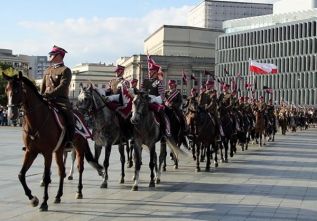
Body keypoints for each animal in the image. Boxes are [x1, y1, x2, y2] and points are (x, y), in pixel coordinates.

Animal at [3, 71, 102, 212]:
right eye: (6, 90)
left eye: (17, 90)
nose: (11, 115)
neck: (37, 121)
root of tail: (81, 115)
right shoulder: (31, 151)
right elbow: (21, 175)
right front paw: (33, 199)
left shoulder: (47, 153)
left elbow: (46, 176)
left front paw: (44, 202)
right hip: (59, 151)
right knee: (62, 170)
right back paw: (58, 195)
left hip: (79, 147)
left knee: (80, 167)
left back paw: (79, 191)